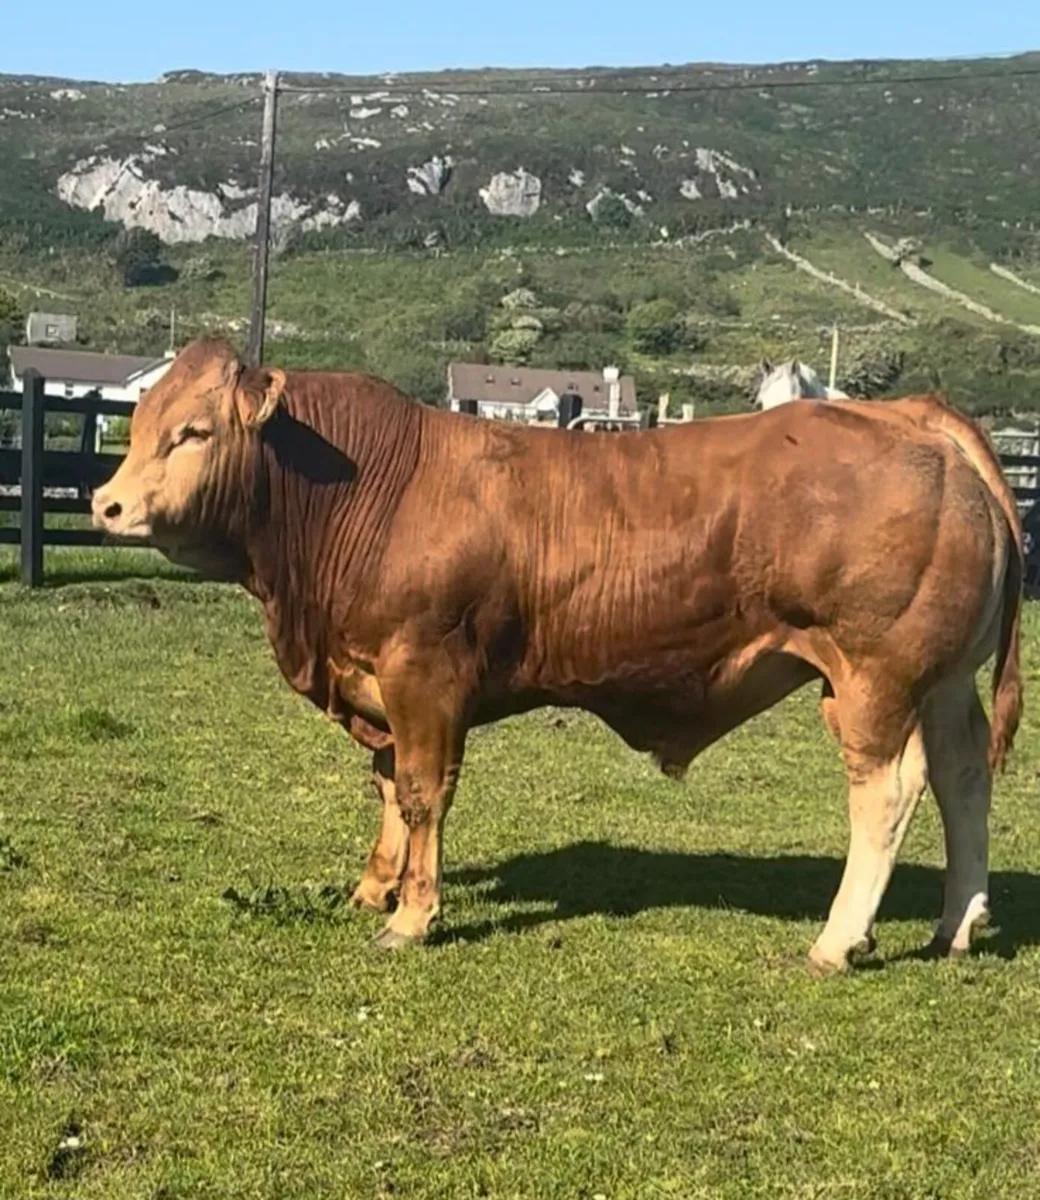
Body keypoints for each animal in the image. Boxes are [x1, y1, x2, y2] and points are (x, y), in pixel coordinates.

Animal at [91, 338, 1023, 975]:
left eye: (193, 432)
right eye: (137, 424)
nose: (107, 505)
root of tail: (911, 415)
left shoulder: (424, 673)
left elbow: (423, 792)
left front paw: (411, 916)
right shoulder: (377, 682)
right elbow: (389, 785)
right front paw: (374, 885)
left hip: (873, 677)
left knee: (888, 792)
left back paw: (839, 939)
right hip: (942, 680)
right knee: (962, 778)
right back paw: (958, 923)